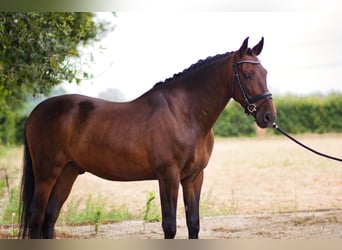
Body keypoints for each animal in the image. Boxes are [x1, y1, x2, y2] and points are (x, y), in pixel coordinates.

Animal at [18, 37, 276, 238]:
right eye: (247, 74)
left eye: (265, 72)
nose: (268, 116)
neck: (183, 113)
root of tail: (36, 111)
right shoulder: (168, 176)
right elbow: (170, 226)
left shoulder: (194, 177)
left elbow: (193, 224)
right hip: (47, 174)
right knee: (37, 217)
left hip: (68, 171)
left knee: (50, 217)